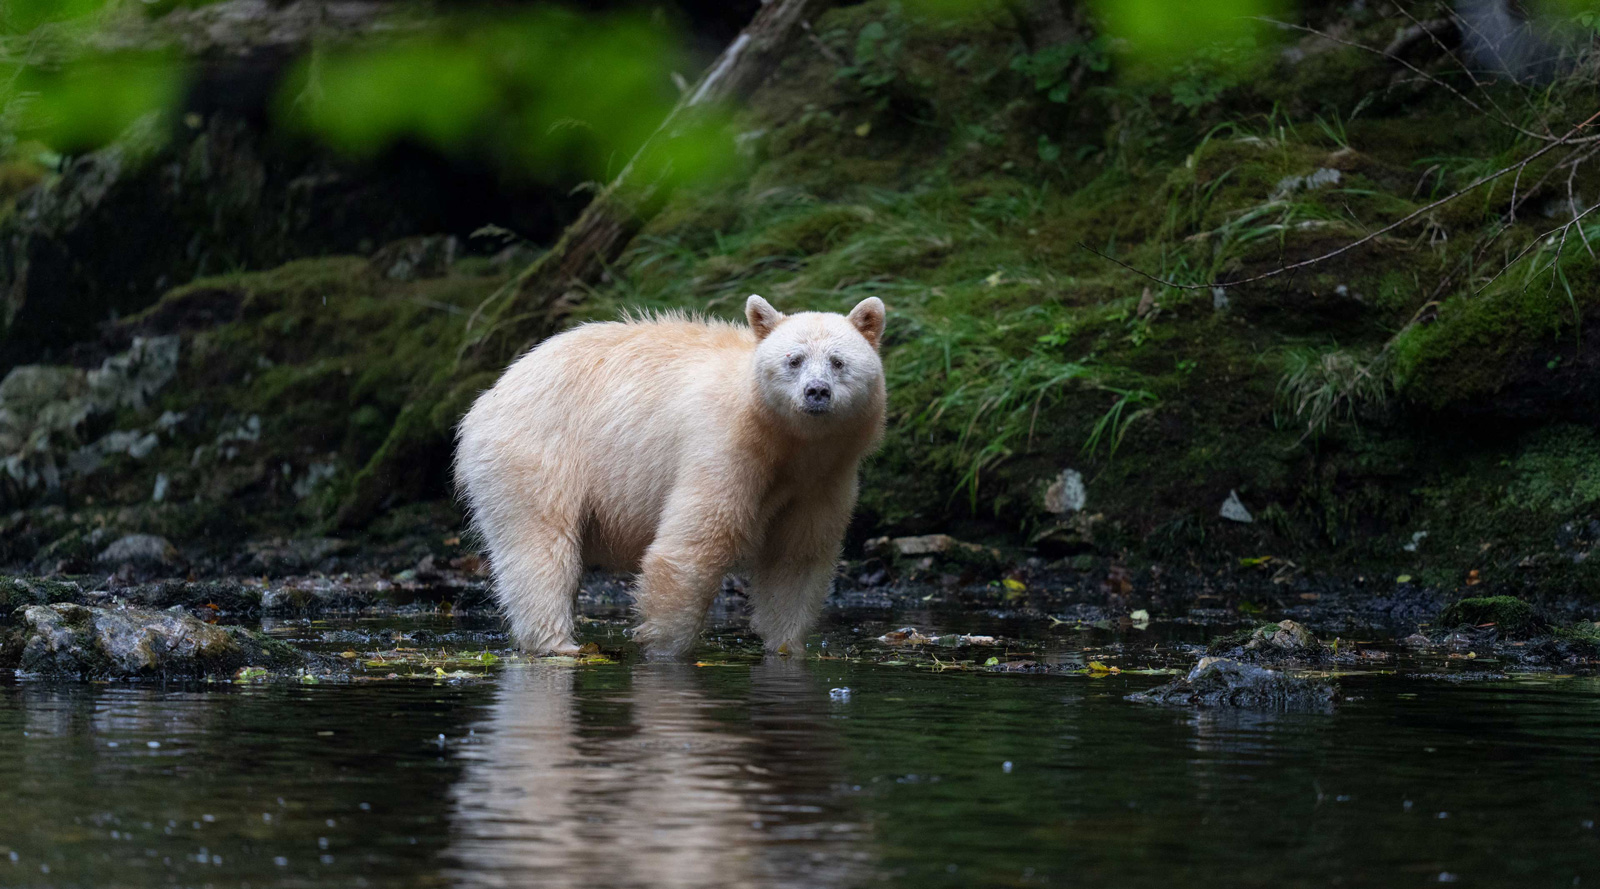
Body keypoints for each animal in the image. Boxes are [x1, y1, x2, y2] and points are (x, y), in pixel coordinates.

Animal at [454, 294, 887, 657]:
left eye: (838, 361)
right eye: (793, 359)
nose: (816, 391)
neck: (786, 444)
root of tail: (492, 393)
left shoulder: (824, 479)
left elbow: (797, 558)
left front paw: (786, 647)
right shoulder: (725, 449)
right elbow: (691, 547)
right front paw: (663, 648)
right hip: (537, 454)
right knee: (540, 551)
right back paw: (558, 644)